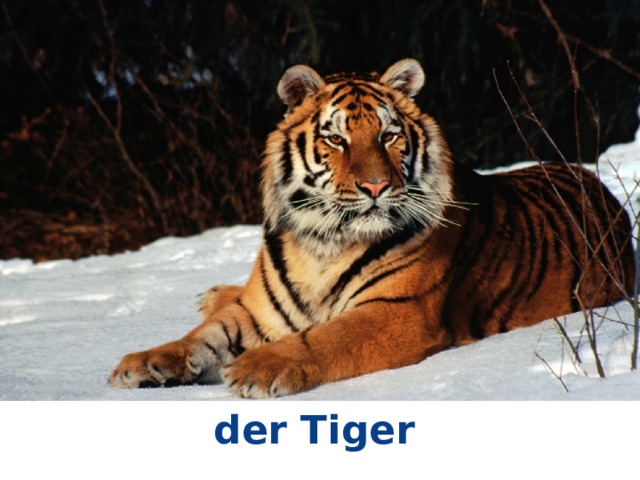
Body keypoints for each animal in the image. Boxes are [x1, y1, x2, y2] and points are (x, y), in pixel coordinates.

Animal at [109, 59, 636, 398]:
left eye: (389, 135)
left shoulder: (396, 311)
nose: (377, 186)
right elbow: (201, 337)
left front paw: (257, 368)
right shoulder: (260, 310)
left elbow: (322, 338)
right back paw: (212, 294)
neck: (322, 244)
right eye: (336, 139)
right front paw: (143, 363)